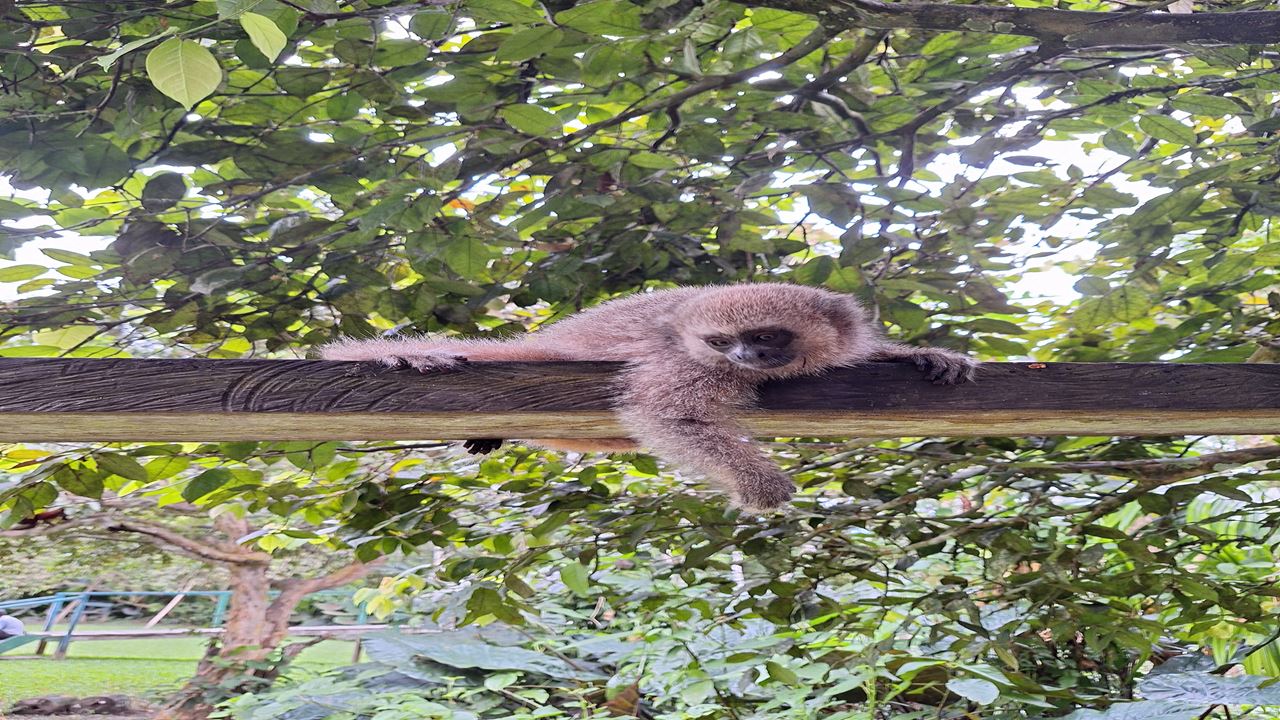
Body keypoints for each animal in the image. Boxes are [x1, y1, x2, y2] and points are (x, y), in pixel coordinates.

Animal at [321, 283, 978, 511]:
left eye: (767, 336)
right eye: (723, 342)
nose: (748, 359)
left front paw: (916, 354)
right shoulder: (693, 365)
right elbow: (667, 413)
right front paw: (761, 486)